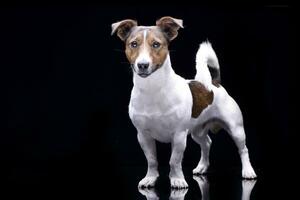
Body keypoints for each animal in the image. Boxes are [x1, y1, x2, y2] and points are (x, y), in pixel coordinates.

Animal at [111, 16, 256, 189]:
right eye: (134, 44)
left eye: (156, 44)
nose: (143, 65)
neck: (153, 89)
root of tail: (215, 83)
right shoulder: (143, 136)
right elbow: (151, 160)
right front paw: (150, 178)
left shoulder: (179, 135)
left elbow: (174, 160)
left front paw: (177, 179)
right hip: (197, 131)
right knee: (206, 143)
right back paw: (202, 167)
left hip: (236, 129)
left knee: (243, 150)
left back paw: (248, 171)